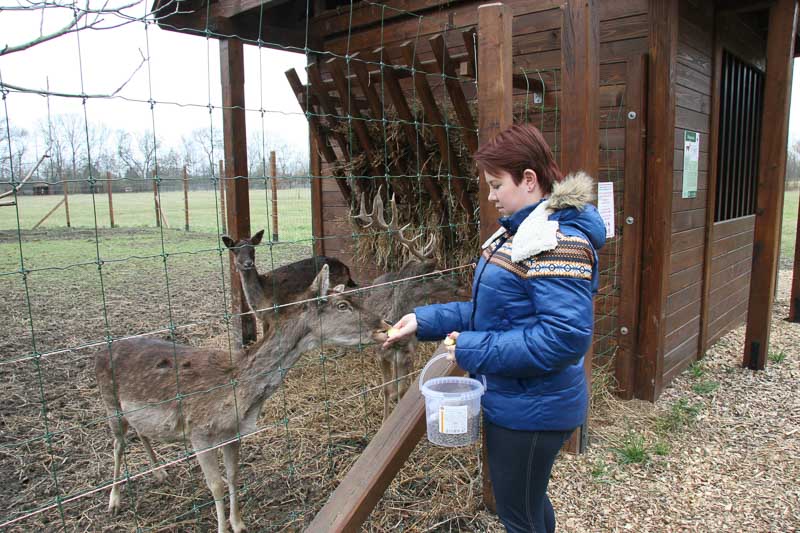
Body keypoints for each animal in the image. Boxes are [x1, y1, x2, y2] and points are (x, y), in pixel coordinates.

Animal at [95, 265, 390, 533]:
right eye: (342, 305)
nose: (383, 324)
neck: (239, 396)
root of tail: (100, 352)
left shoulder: (232, 433)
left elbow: (234, 476)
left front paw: (239, 524)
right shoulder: (199, 433)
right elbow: (216, 485)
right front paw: (222, 528)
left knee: (140, 431)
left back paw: (159, 473)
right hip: (110, 403)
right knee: (118, 444)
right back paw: (114, 501)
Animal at [221, 229, 356, 338]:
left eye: (252, 249)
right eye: (235, 250)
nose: (248, 263)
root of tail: (347, 268)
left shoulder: (278, 314)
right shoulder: (265, 319)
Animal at [355, 189, 470, 420]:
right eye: (436, 273)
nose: (462, 283)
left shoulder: (408, 355)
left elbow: (401, 391)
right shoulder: (380, 354)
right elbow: (386, 390)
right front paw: (385, 420)